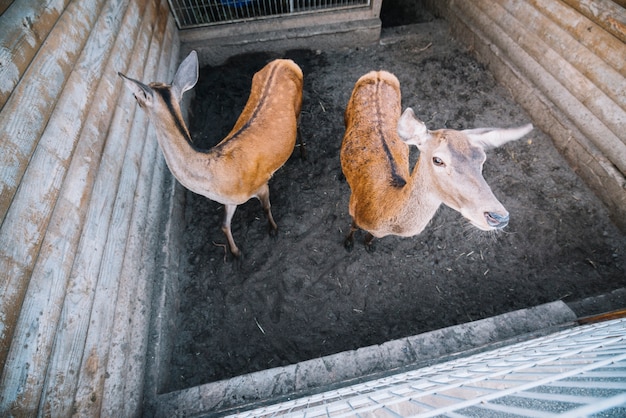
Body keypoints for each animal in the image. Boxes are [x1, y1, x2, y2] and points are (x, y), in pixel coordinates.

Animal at [119, 49, 302, 258]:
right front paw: (236, 254)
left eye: (138, 95)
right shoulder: (230, 200)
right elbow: (223, 225)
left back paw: (303, 154)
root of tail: (284, 61)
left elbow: (265, 207)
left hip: (299, 104)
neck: (218, 178)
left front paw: (274, 230)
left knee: (300, 127)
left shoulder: (260, 184)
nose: (133, 96)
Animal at [342, 70, 532, 250]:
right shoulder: (353, 206)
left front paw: (368, 245)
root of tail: (378, 73)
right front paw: (348, 243)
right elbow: (353, 226)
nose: (498, 217)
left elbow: (370, 237)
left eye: (482, 158)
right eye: (438, 160)